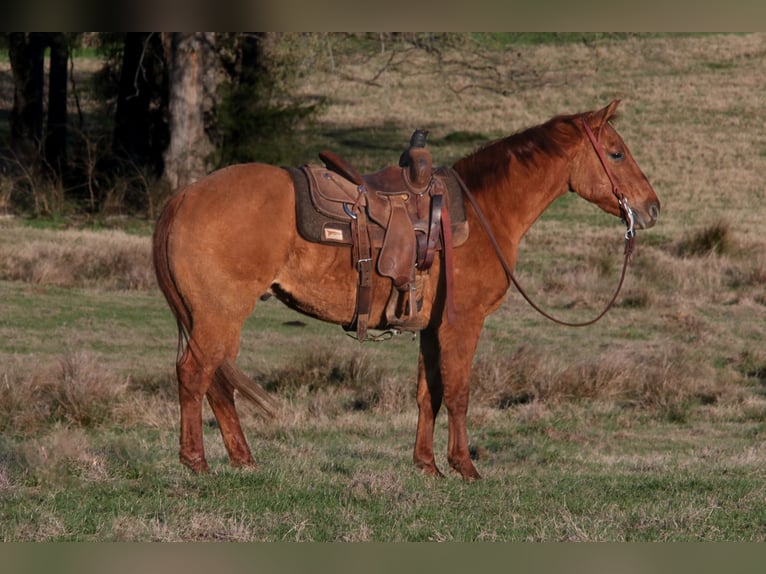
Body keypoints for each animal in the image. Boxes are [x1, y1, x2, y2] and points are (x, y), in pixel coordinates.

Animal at [154, 100, 660, 482]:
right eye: (616, 153)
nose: (651, 207)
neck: (484, 213)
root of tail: (184, 196)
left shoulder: (431, 328)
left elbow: (427, 392)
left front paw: (427, 466)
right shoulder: (462, 324)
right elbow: (458, 392)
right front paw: (465, 467)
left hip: (216, 319)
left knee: (217, 381)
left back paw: (243, 459)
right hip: (220, 315)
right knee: (194, 375)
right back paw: (196, 462)